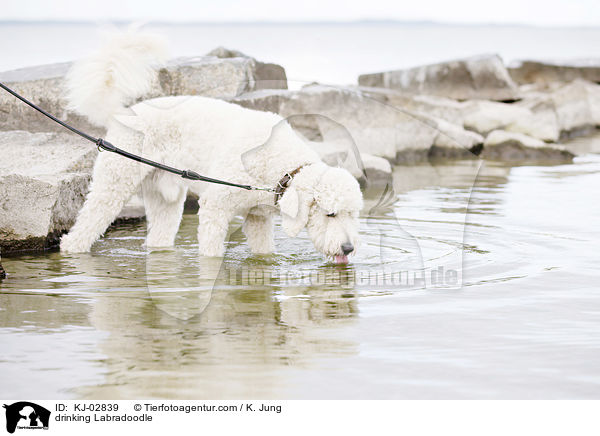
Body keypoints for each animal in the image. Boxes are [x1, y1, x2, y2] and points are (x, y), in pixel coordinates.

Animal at [59, 31, 360, 262]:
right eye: (330, 214)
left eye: (353, 215)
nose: (348, 248)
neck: (279, 166)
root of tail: (123, 113)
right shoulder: (216, 207)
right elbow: (212, 251)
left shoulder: (258, 218)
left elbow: (264, 251)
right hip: (115, 182)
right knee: (86, 226)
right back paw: (73, 249)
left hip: (164, 195)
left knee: (160, 233)